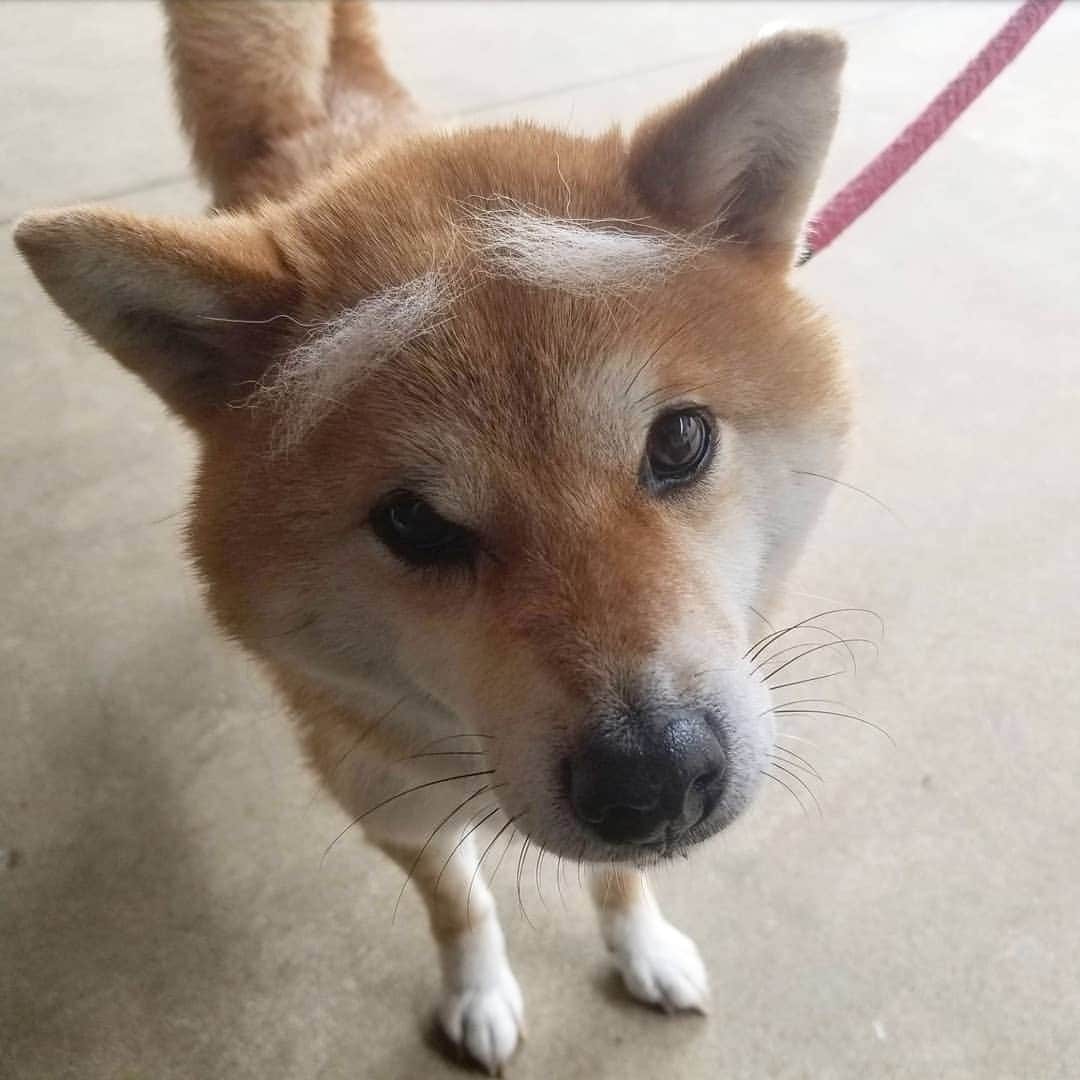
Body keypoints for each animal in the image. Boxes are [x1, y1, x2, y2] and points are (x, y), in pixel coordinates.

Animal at [12, 4, 846, 1071]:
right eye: (411, 522)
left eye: (680, 441)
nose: (651, 777)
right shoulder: (388, 805)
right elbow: (460, 907)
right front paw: (478, 994)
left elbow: (617, 878)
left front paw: (643, 947)